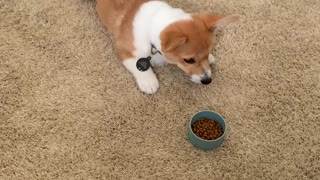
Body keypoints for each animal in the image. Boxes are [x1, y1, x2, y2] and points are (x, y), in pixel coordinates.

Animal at [96, 0, 239, 94]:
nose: (207, 81)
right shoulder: (124, 49)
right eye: (189, 60)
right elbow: (138, 66)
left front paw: (210, 58)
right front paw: (149, 82)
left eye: (207, 53)